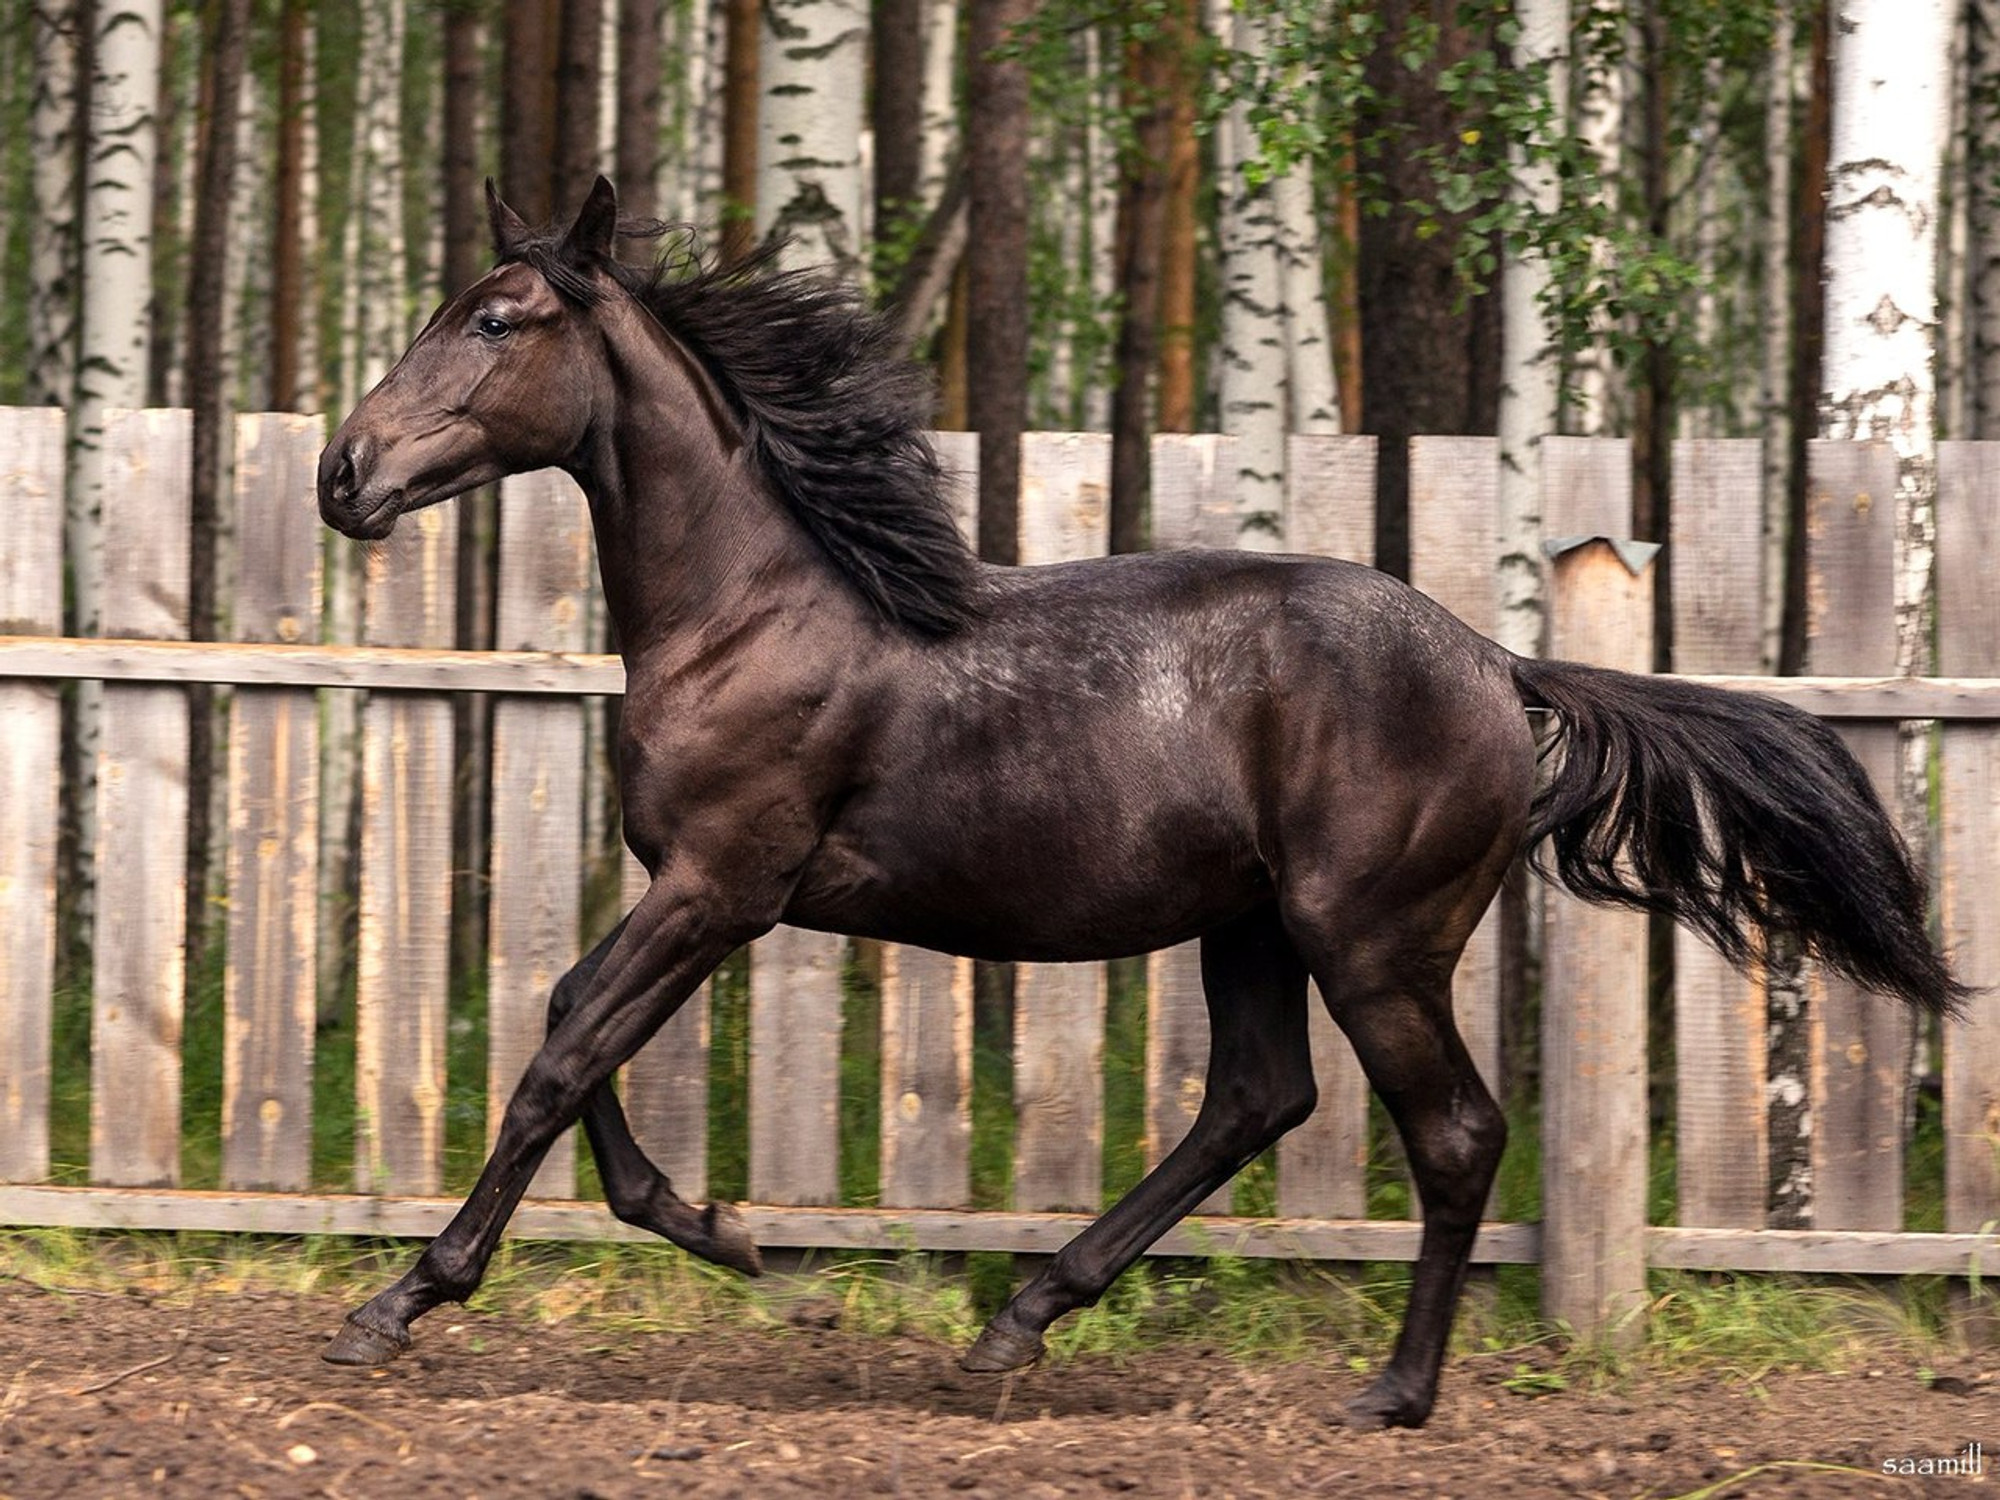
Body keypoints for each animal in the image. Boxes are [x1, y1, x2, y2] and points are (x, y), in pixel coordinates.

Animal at [320, 182, 1960, 1440]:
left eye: (495, 320)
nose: (345, 472)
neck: (749, 612)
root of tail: (1502, 667)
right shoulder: (691, 887)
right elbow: (567, 1022)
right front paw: (739, 1242)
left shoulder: (723, 883)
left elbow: (561, 1055)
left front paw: (397, 1304)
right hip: (1250, 930)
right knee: (1255, 1098)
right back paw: (1019, 1321)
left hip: (1372, 943)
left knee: (1449, 1134)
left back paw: (1390, 1394)